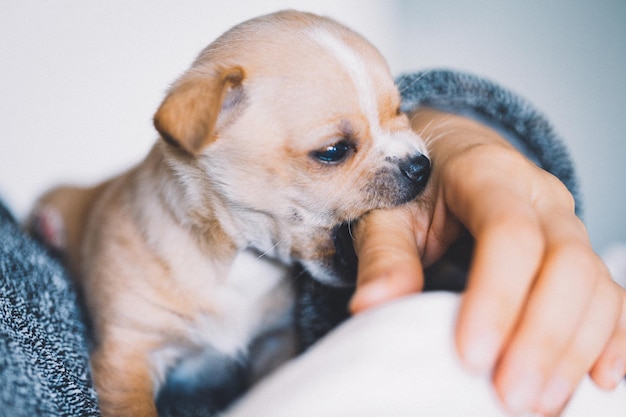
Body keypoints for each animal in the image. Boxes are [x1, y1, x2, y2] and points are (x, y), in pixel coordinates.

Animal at [29, 9, 428, 416]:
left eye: (400, 112)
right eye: (334, 151)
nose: (421, 166)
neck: (240, 258)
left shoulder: (274, 343)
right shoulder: (129, 354)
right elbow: (135, 406)